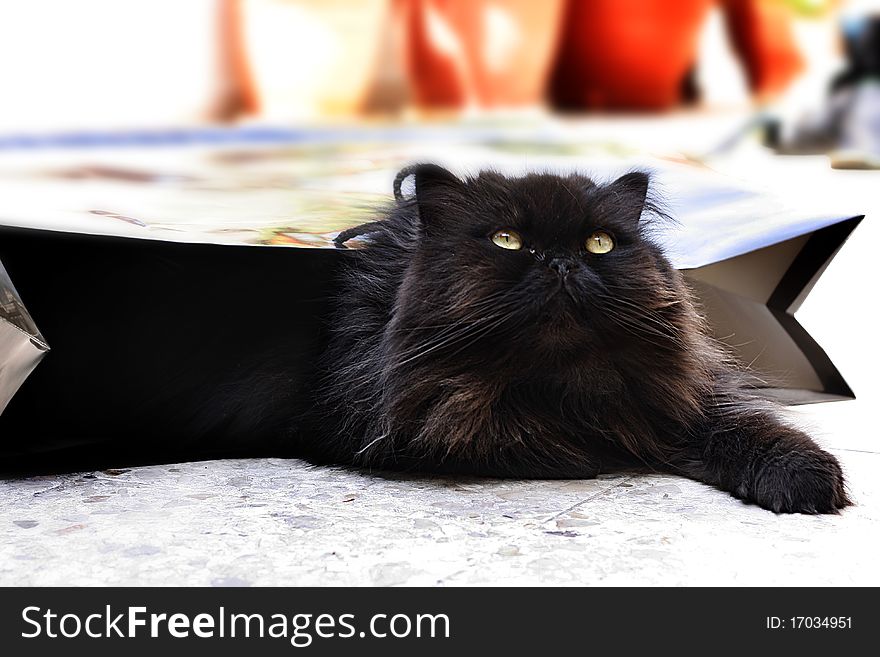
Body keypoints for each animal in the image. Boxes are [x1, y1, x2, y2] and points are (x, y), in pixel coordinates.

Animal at [314, 164, 844, 512]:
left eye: (599, 243)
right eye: (506, 240)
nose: (562, 264)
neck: (561, 382)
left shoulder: (684, 397)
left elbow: (747, 426)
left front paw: (806, 477)